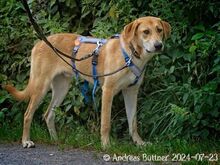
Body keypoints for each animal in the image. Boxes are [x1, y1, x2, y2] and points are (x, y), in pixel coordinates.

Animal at [4, 16, 171, 148]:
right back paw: (26, 141)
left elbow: (133, 123)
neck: (131, 54)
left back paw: (55, 140)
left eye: (159, 30)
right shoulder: (108, 91)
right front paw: (106, 145)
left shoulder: (131, 92)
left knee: (48, 115)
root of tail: (40, 43)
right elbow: (105, 123)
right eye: (146, 32)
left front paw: (139, 143)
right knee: (28, 114)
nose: (158, 45)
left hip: (62, 88)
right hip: (41, 86)